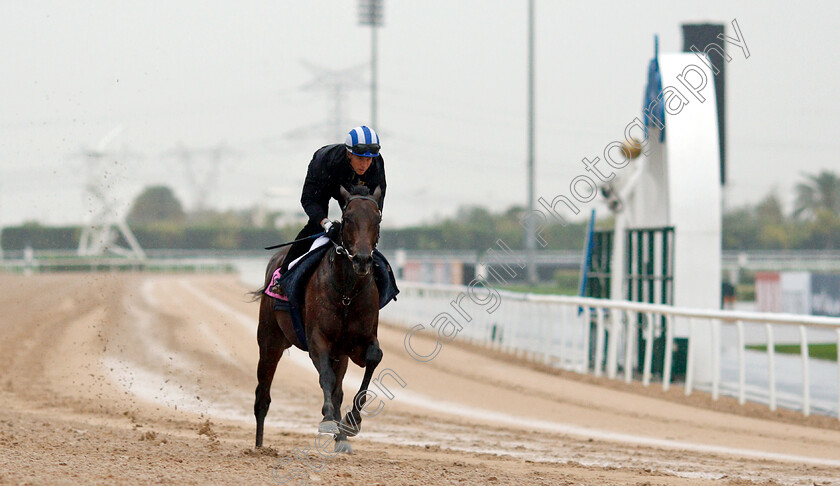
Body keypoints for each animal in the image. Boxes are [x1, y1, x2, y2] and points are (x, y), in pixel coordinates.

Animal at [254, 184, 386, 454]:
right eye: (348, 218)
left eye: (377, 219)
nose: (362, 260)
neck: (346, 293)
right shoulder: (317, 339)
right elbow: (325, 376)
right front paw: (327, 420)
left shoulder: (359, 342)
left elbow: (372, 358)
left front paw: (351, 423)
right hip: (270, 340)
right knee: (263, 395)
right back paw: (260, 446)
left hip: (339, 354)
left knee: (338, 390)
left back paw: (342, 439)